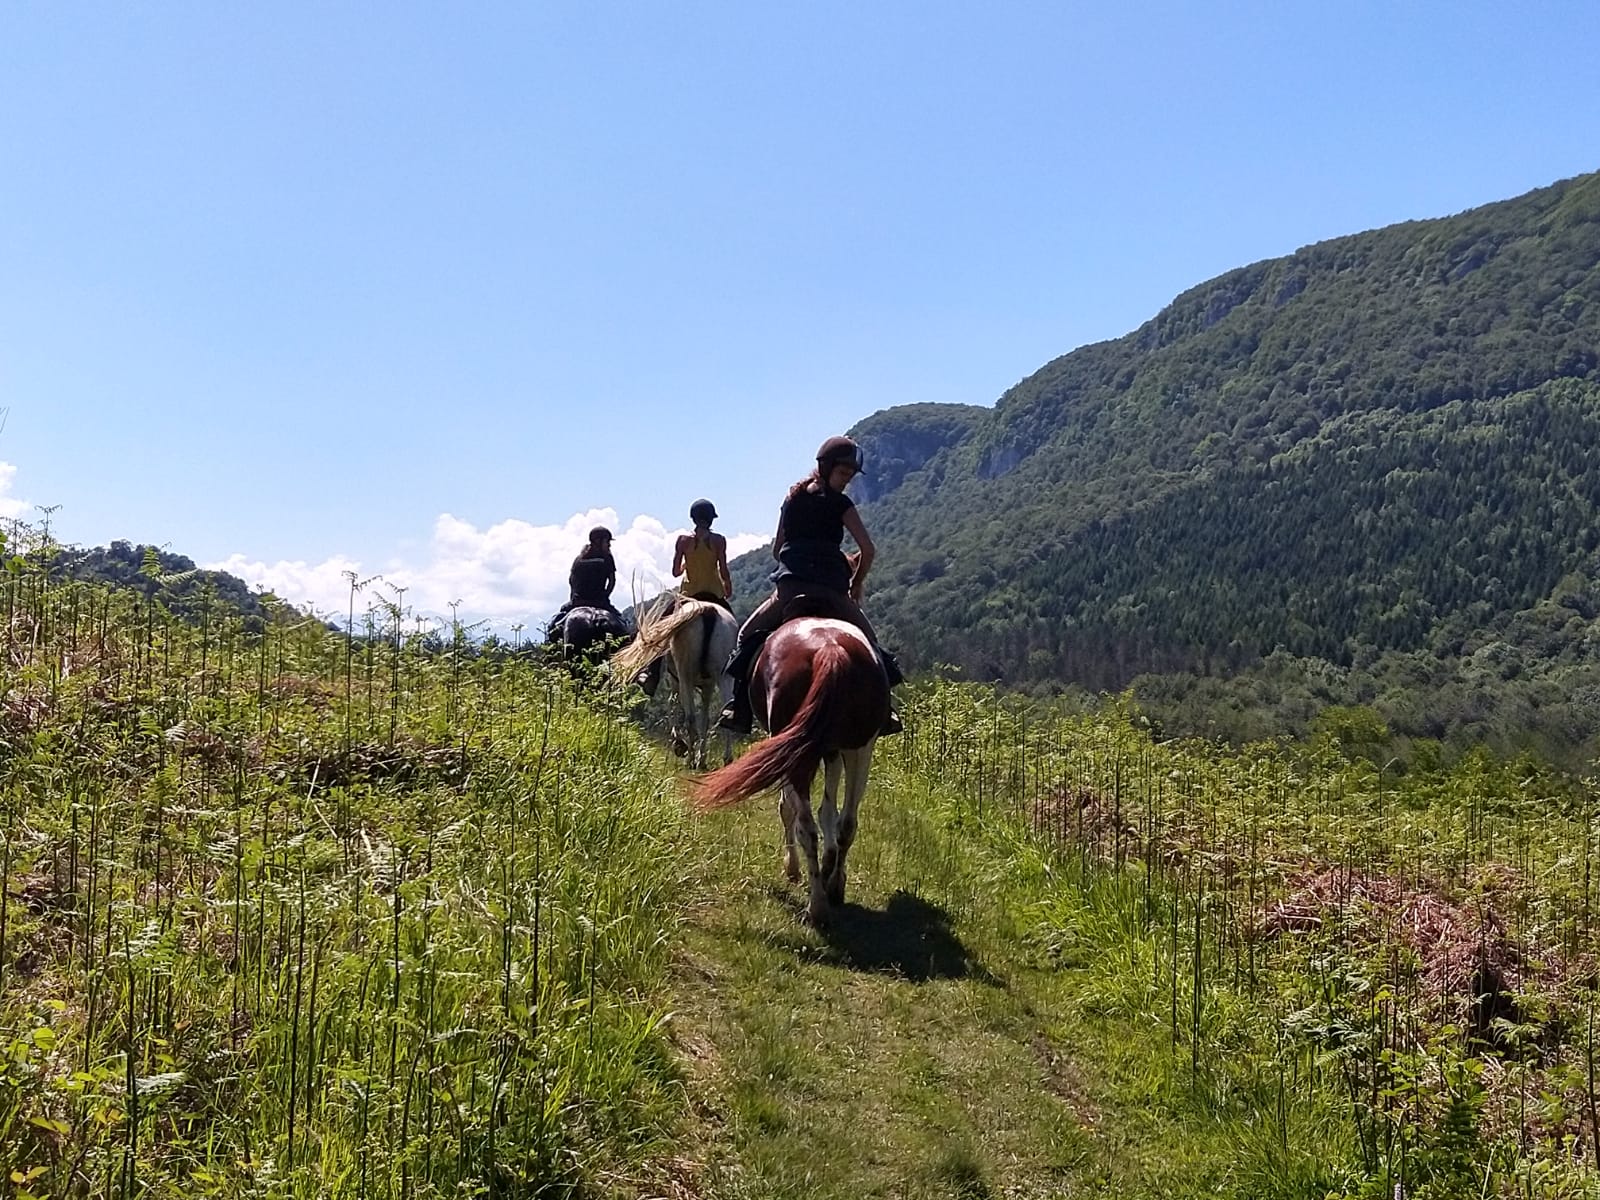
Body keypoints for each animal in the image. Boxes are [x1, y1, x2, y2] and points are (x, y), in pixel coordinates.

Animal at [611, 595, 736, 771]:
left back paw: (690, 759)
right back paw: (726, 758)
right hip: (723, 677)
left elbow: (673, 704)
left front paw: (681, 746)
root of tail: (708, 610)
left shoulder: (676, 680)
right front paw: (702, 758)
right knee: (727, 714)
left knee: (690, 718)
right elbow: (704, 721)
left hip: (685, 676)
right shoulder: (708, 686)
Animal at [694, 620, 896, 928]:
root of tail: (829, 650)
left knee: (805, 827)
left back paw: (817, 905)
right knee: (847, 822)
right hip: (861, 749)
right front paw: (829, 866)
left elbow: (788, 810)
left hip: (799, 753)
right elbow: (829, 813)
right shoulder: (832, 751)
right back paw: (833, 887)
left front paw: (792, 867)